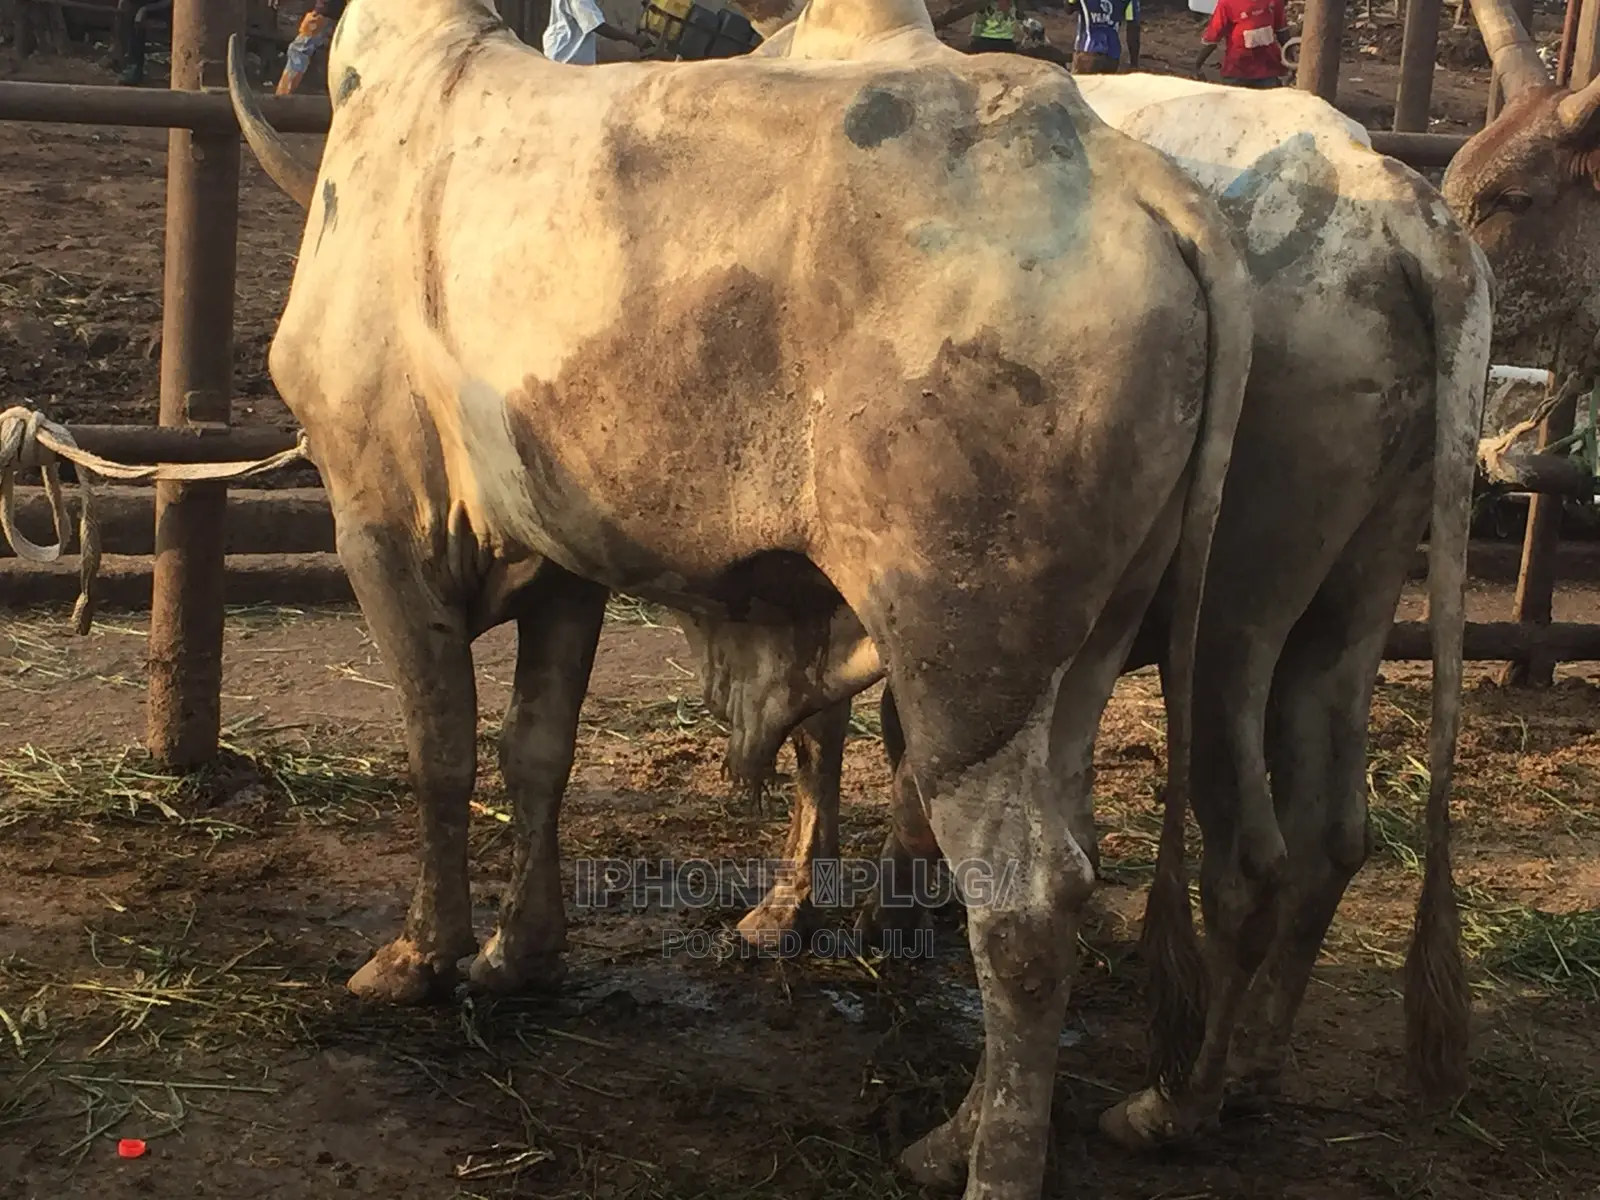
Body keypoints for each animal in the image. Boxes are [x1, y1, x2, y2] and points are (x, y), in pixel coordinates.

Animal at [225, 0, 1256, 1194]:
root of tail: (1132, 182)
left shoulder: (378, 523)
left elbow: (440, 749)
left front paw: (415, 959)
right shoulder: (564, 562)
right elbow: (536, 751)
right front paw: (516, 954)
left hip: (962, 651)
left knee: (1026, 904)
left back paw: (992, 1162)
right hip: (1082, 654)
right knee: (1071, 869)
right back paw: (950, 1134)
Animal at [704, 2, 1494, 1151]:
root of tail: (1397, 202)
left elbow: (837, 740)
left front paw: (797, 908)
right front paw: (900, 898)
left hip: (1238, 607)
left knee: (1253, 856)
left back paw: (1174, 1103)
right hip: (1356, 589)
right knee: (1334, 831)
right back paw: (1253, 1063)